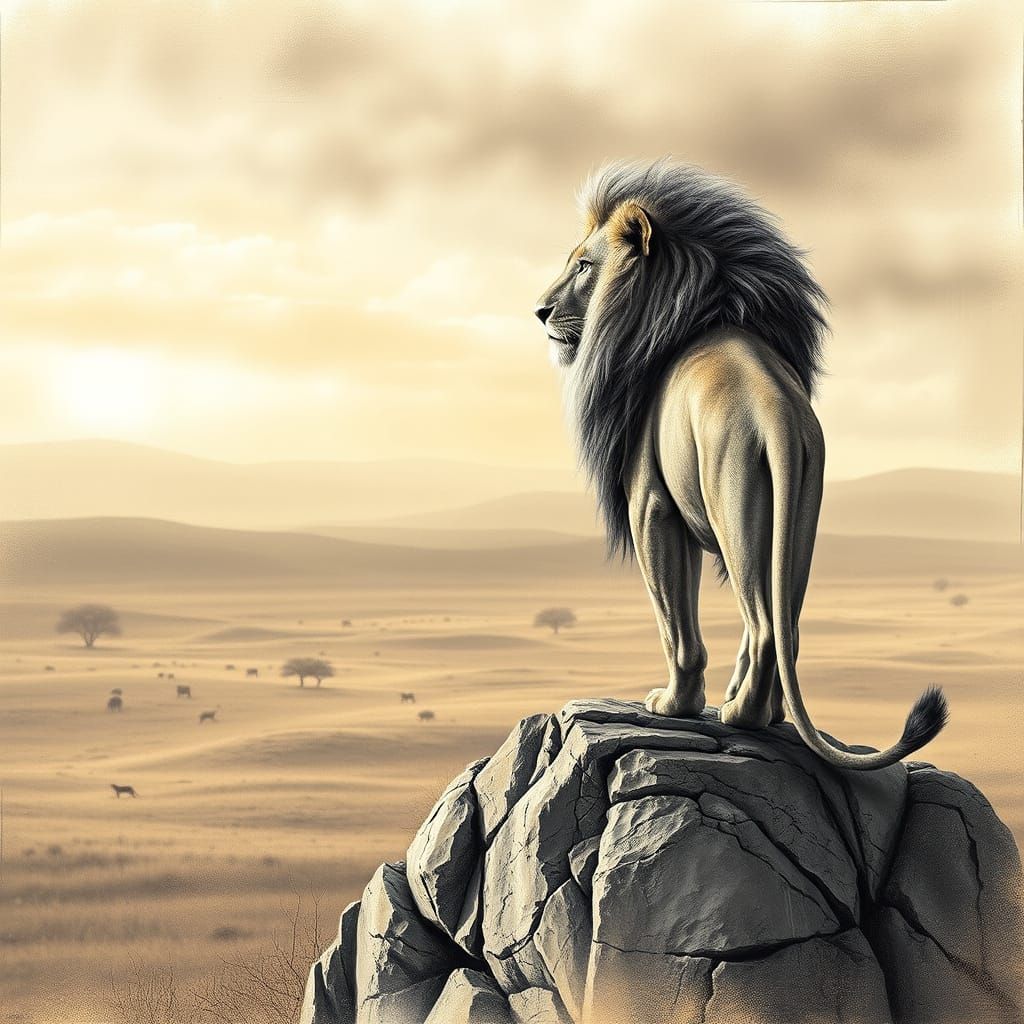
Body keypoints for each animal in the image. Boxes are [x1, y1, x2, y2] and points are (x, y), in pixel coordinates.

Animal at [535, 159, 947, 770]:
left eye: (584, 265)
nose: (540, 311)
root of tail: (775, 408)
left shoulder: (651, 506)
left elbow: (675, 625)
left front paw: (674, 704)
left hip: (734, 508)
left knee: (764, 626)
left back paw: (741, 716)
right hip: (799, 514)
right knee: (787, 625)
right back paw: (767, 713)